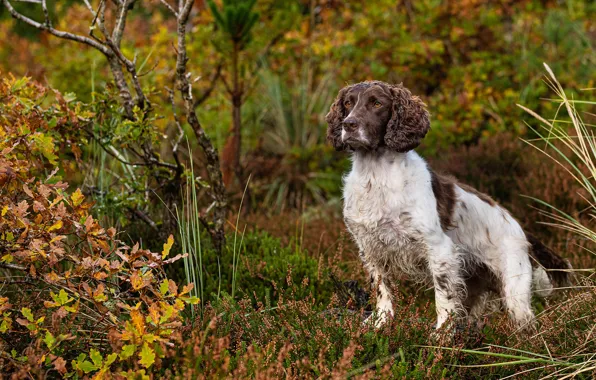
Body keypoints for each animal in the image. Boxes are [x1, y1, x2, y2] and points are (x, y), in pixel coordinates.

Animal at [326, 80, 572, 330]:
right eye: (348, 103)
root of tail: (521, 230)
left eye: (377, 103)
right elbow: (382, 289)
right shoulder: (370, 248)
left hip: (515, 288)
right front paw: (380, 323)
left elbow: (443, 297)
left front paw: (440, 334)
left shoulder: (439, 249)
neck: (376, 176)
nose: (349, 124)